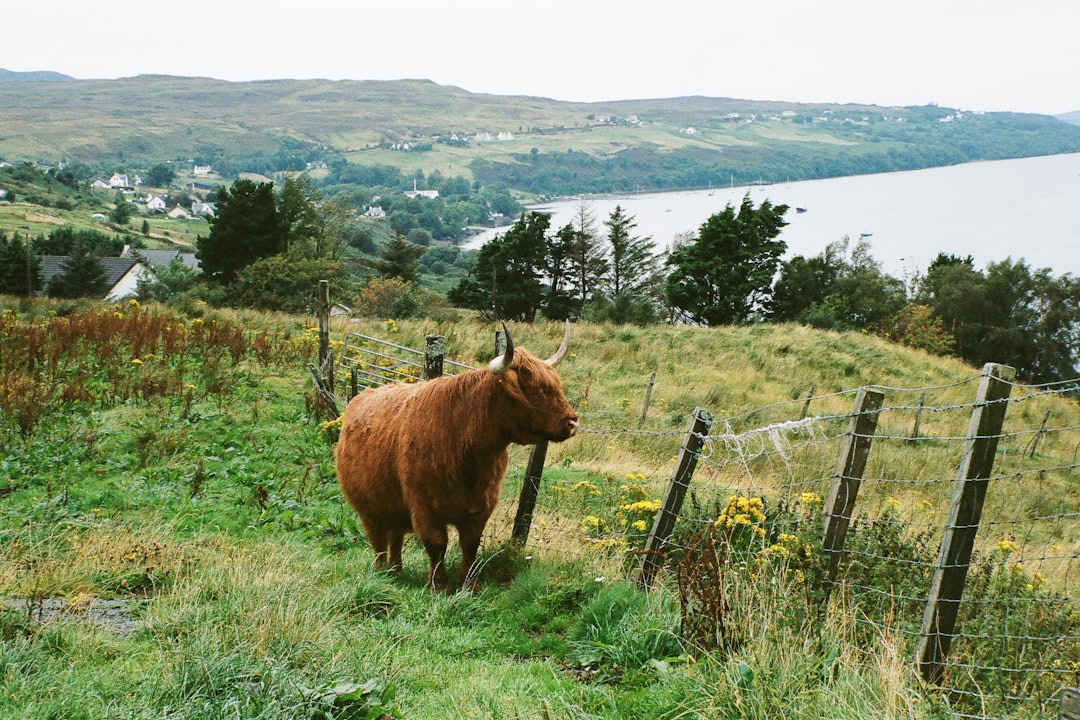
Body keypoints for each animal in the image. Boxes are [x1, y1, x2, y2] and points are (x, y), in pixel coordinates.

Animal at [334, 321, 578, 591]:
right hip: (368, 507)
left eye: (556, 383)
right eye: (536, 387)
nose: (572, 423)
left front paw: (469, 586)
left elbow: (470, 546)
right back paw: (381, 573)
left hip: (394, 505)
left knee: (395, 538)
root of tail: (361, 396)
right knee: (377, 541)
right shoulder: (424, 507)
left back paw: (396, 572)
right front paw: (438, 587)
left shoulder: (481, 506)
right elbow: (437, 545)